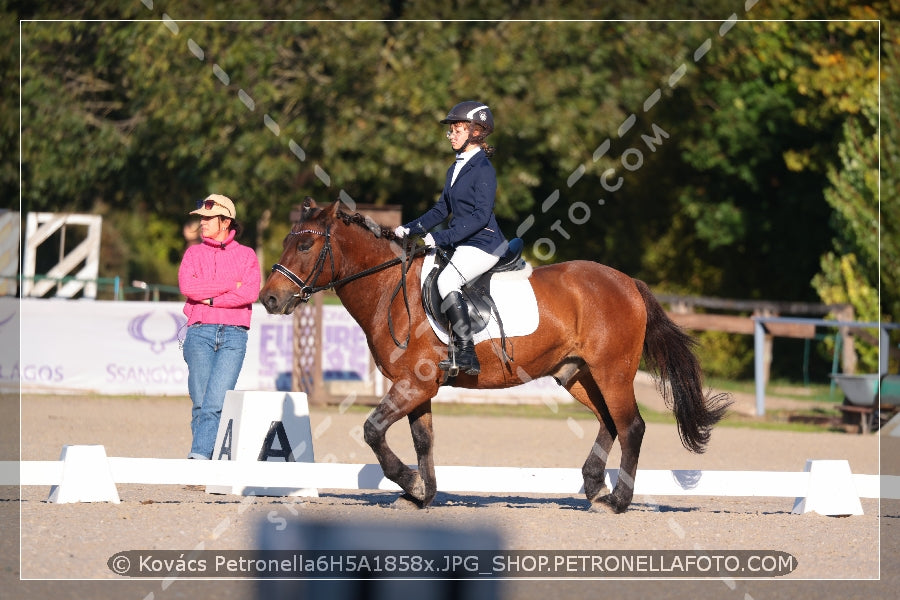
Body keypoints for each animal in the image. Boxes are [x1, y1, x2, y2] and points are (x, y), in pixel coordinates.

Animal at [258, 199, 732, 512]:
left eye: (305, 247)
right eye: (285, 241)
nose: (269, 300)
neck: (391, 289)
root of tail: (628, 281)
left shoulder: (414, 383)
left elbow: (373, 431)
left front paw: (411, 484)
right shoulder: (418, 387)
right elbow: (423, 440)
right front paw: (422, 495)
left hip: (612, 372)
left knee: (631, 426)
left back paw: (617, 499)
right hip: (577, 375)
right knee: (608, 422)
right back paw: (594, 487)